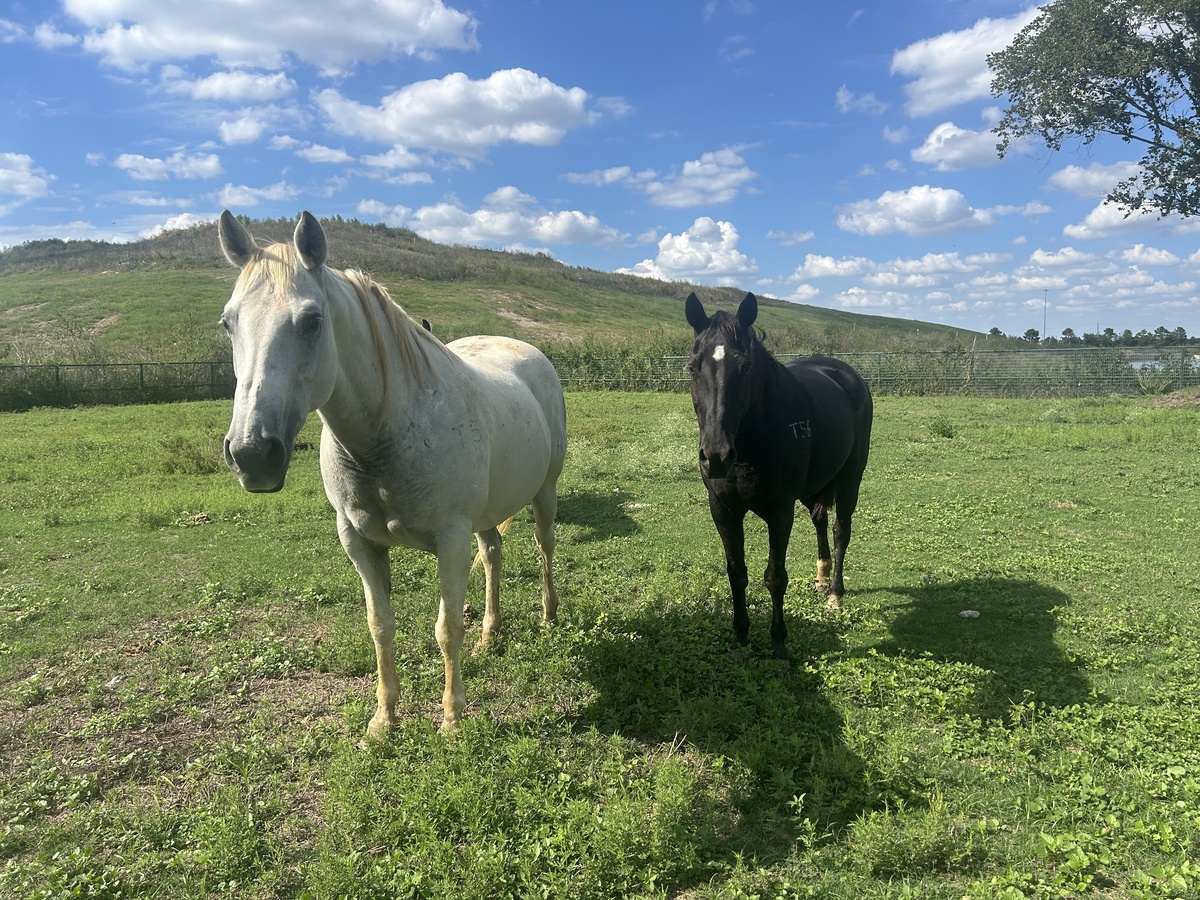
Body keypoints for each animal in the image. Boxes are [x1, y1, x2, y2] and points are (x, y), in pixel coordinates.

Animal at [217, 210, 567, 735]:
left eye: (312, 321)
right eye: (228, 322)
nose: (252, 453)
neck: (384, 438)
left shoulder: (450, 539)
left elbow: (446, 627)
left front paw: (452, 719)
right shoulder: (358, 542)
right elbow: (380, 627)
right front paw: (384, 720)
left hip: (544, 494)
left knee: (544, 547)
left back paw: (548, 617)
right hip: (486, 516)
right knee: (493, 555)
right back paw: (490, 635)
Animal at [684, 291, 872, 660]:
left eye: (745, 367)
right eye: (693, 367)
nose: (716, 456)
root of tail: (845, 374)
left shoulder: (780, 511)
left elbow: (775, 576)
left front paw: (779, 644)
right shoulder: (723, 510)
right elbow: (736, 573)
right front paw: (740, 637)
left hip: (850, 480)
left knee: (840, 530)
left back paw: (834, 594)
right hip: (814, 488)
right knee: (819, 520)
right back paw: (821, 580)